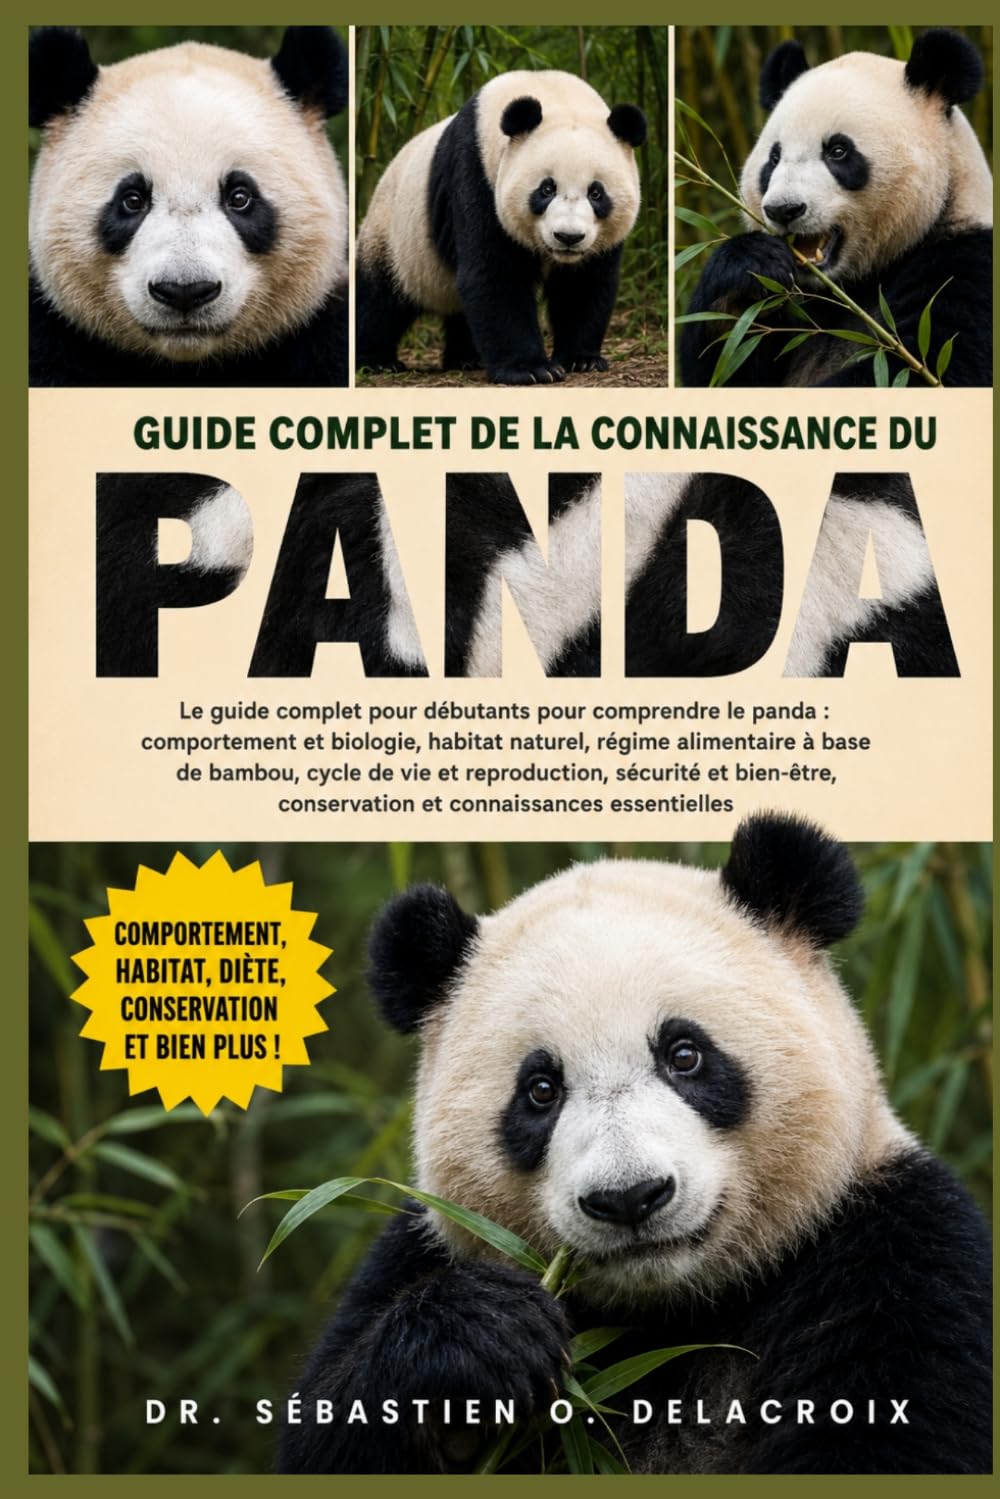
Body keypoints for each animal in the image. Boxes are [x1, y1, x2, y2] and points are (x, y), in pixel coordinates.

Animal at [278, 815, 991, 1474]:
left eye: (685, 1054)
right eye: (540, 1090)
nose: (629, 1198)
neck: (670, 1314)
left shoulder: (894, 1255)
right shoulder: (421, 1248)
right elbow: (326, 1435)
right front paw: (479, 1338)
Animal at [356, 71, 647, 384]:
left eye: (596, 193)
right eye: (546, 189)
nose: (568, 237)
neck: (549, 90)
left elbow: (581, 284)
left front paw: (580, 360)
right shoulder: (476, 175)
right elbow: (495, 273)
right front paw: (530, 369)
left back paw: (466, 358)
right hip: (392, 237)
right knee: (378, 301)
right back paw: (376, 361)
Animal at [681, 29, 993, 388]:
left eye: (838, 151)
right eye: (774, 158)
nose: (784, 210)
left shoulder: (965, 266)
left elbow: (925, 367)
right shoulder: (795, 305)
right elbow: (724, 362)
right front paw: (752, 263)